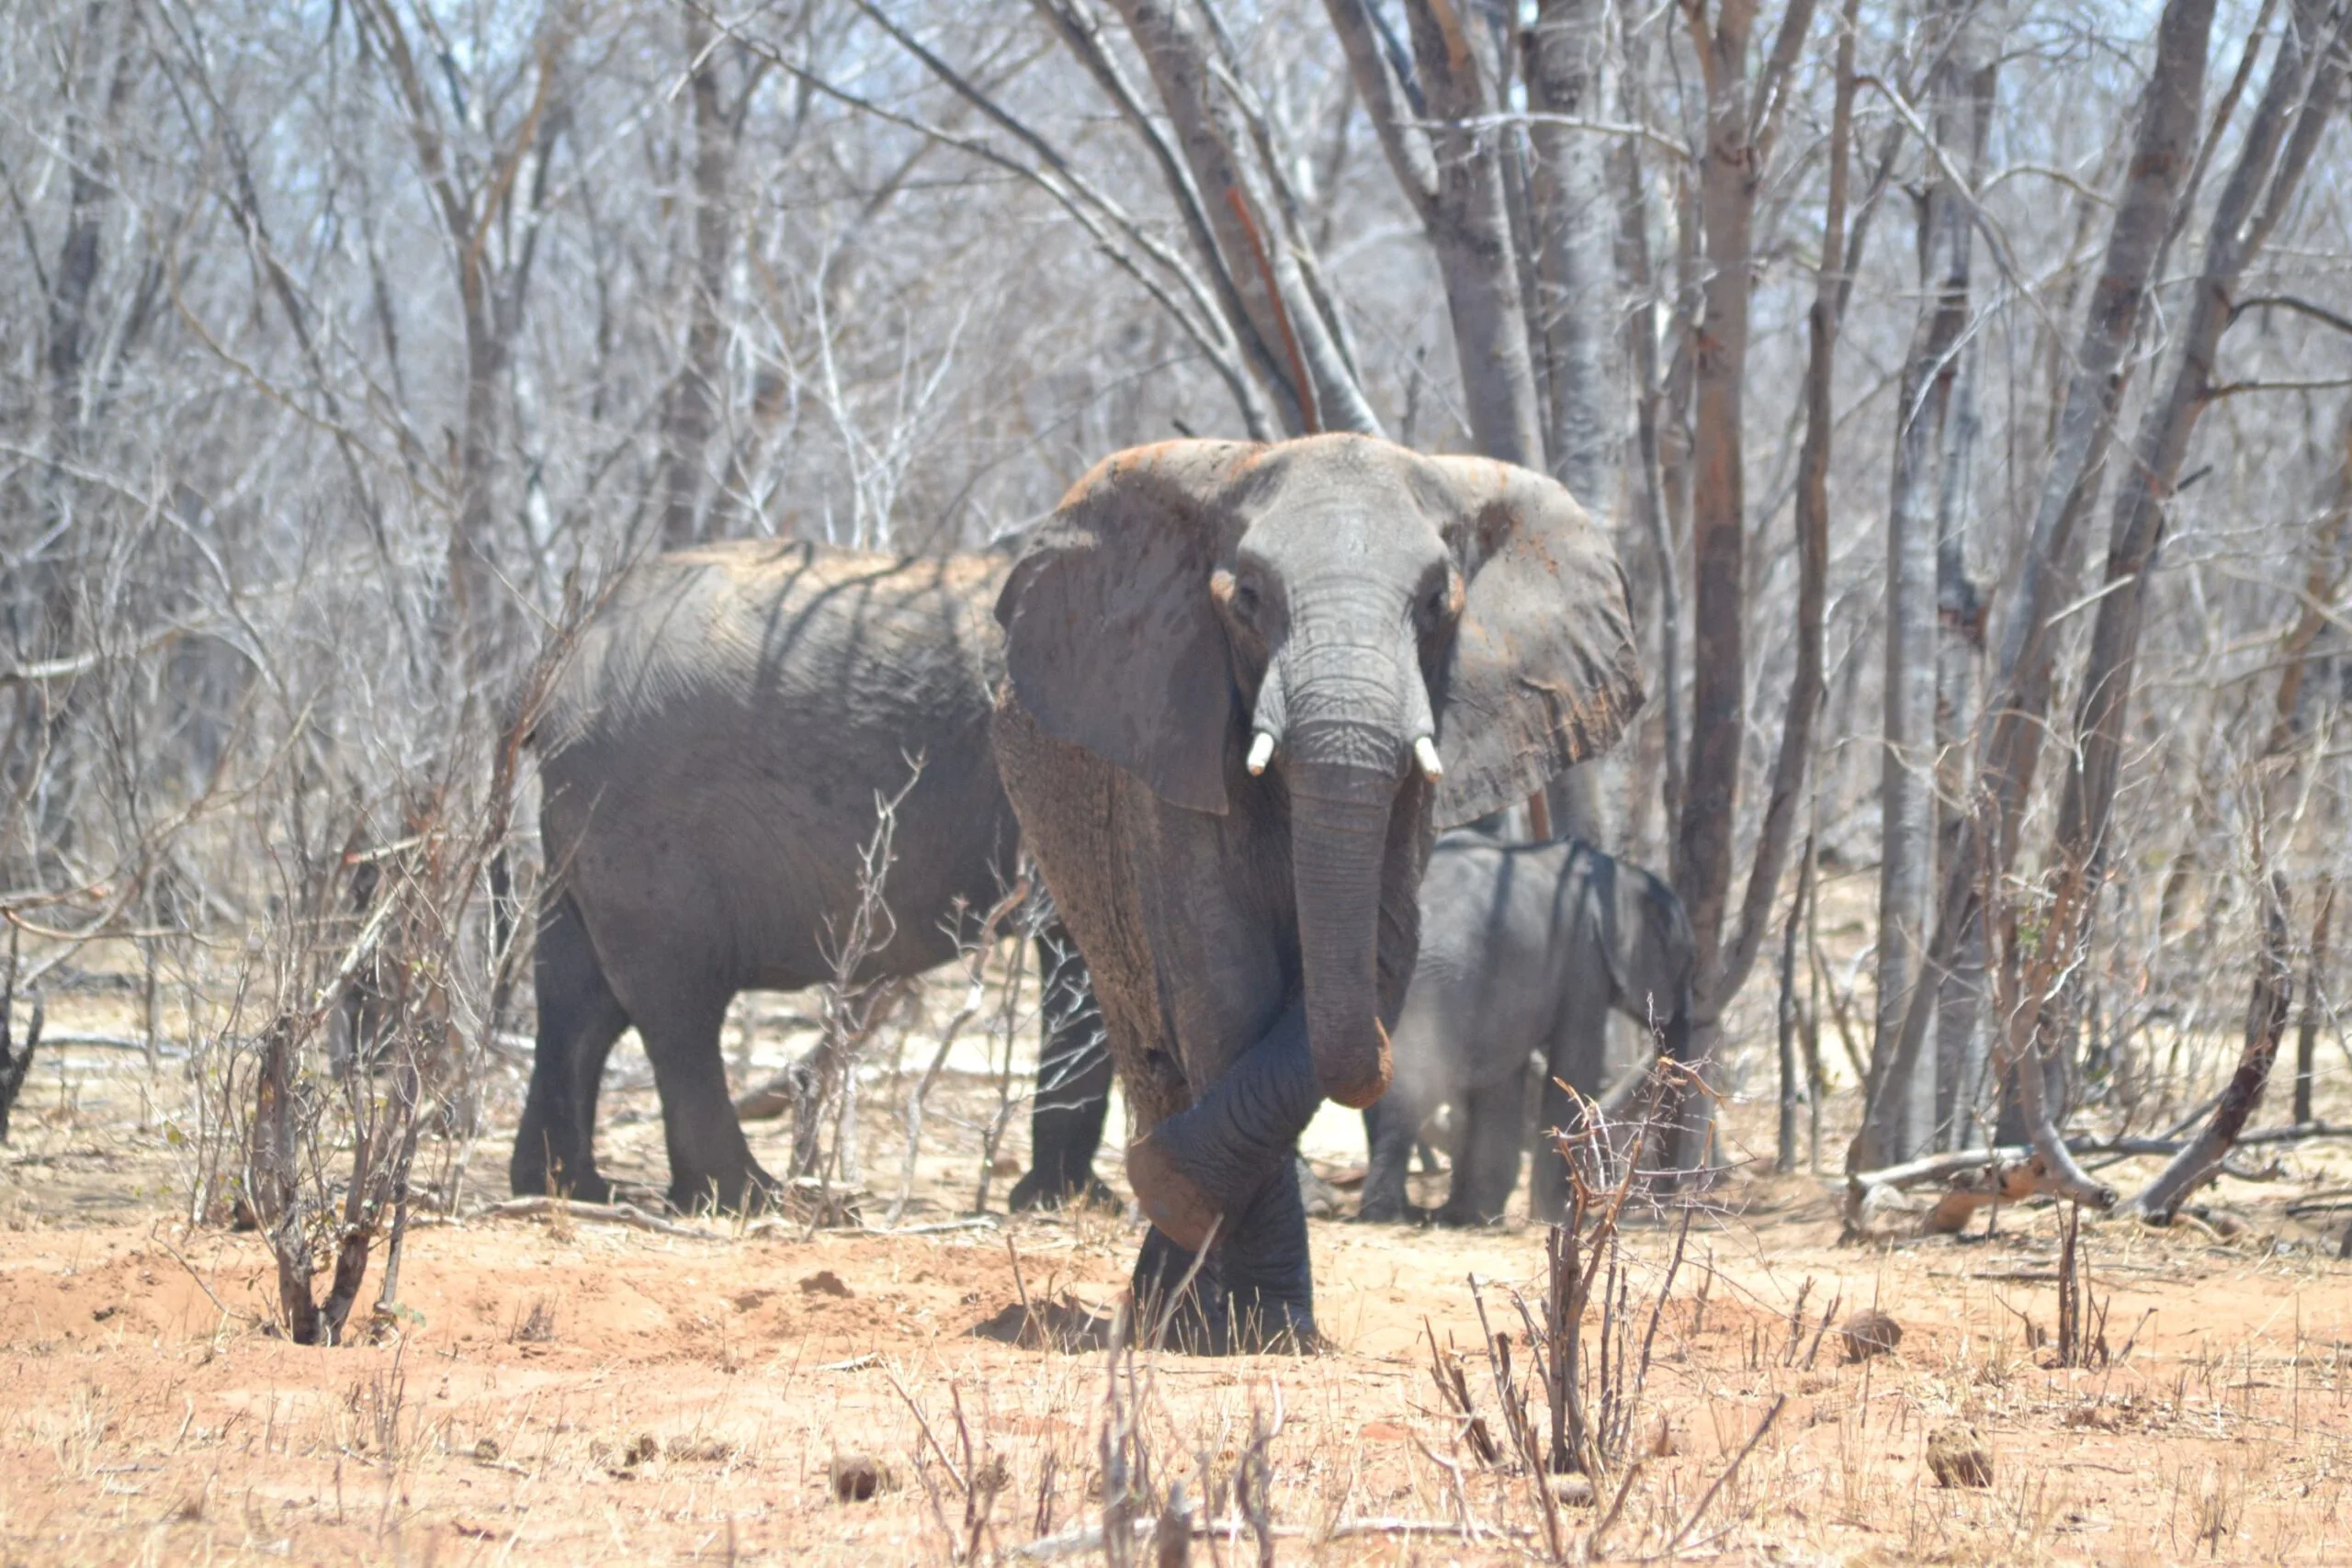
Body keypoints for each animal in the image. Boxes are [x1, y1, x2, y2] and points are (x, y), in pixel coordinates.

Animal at [510, 538, 1106, 1212]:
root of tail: (564, 657)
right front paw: (1075, 1202)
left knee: (577, 995)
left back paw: (568, 1188)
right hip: (643, 818)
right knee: (676, 1001)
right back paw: (744, 1197)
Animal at [991, 434, 1641, 1351]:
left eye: (1437, 601)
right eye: (1249, 599)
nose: (1391, 1068)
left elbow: (1376, 955)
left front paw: (1249, 1301)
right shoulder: (1172, 736)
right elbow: (1228, 984)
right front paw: (1265, 1324)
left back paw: (1170, 1301)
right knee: (1150, 1040)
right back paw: (1171, 1304)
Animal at [1357, 830, 1695, 1228]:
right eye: (1686, 962)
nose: (1663, 1197)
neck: (1617, 872)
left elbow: (1504, 1081)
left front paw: (1474, 1216)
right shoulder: (1585, 957)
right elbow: (1573, 1064)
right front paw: (1558, 1216)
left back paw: (1420, 1213)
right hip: (1428, 989)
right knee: (1413, 1087)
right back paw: (1387, 1215)